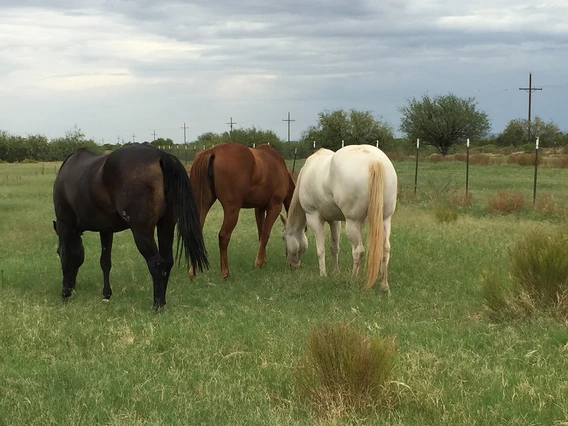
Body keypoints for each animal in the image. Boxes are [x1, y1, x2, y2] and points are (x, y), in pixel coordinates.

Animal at [52, 144, 209, 310]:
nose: (70, 288)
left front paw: (66, 292)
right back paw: (163, 303)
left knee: (157, 264)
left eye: (57, 252)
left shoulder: (66, 225)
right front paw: (106, 294)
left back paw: (157, 305)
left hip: (142, 232)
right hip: (166, 225)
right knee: (167, 262)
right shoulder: (106, 230)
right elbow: (105, 262)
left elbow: (70, 255)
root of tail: (161, 155)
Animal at [189, 141, 296, 278]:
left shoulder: (259, 209)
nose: (294, 264)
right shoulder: (275, 207)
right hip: (232, 210)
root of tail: (212, 151)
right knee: (223, 236)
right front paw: (259, 263)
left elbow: (261, 234)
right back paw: (225, 272)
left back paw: (192, 272)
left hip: (204, 204)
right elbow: (265, 235)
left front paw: (263, 260)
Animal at [280, 145, 398, 292]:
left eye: (283, 238)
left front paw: (323, 275)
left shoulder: (313, 218)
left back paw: (353, 280)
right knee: (386, 249)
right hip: (385, 220)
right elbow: (334, 247)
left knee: (358, 251)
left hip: (353, 223)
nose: (292, 264)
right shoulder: (334, 221)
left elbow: (321, 250)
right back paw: (384, 285)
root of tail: (374, 160)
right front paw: (336, 272)